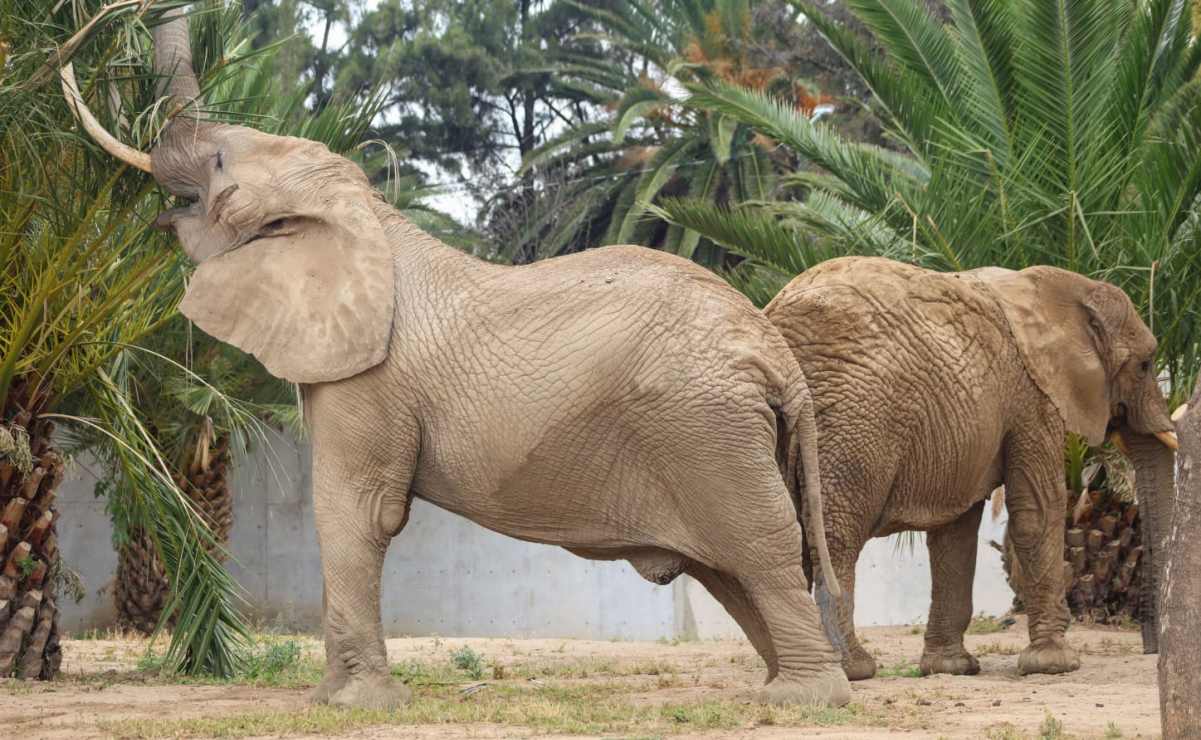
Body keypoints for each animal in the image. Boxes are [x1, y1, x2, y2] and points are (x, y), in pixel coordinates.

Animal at [60, 7, 855, 711]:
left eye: (221, 161)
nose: (95, 34)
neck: (364, 214)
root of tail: (776, 353)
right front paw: (339, 700)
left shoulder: (369, 380)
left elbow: (357, 512)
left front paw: (351, 706)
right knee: (730, 568)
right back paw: (792, 684)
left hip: (705, 428)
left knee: (760, 551)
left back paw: (803, 699)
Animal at [763, 255, 1176, 682]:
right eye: (1145, 365)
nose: (1149, 649)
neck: (1062, 288)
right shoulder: (1034, 398)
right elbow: (1037, 511)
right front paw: (1053, 664)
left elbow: (955, 533)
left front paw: (950, 667)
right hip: (854, 423)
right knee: (835, 537)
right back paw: (851, 669)